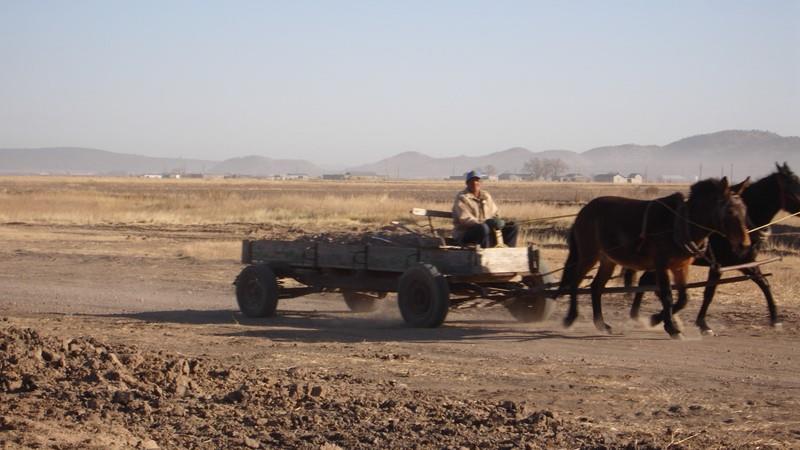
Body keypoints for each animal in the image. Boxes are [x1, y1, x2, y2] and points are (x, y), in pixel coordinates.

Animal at [556, 176, 752, 338]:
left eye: (744, 210)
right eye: (730, 212)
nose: (745, 244)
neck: (680, 223)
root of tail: (584, 210)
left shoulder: (680, 266)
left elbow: (683, 299)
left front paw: (657, 319)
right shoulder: (661, 265)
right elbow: (667, 295)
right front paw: (671, 328)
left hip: (608, 260)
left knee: (596, 288)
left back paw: (602, 325)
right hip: (589, 255)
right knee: (575, 283)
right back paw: (570, 318)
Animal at [624, 162, 800, 334]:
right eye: (794, 185)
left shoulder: (746, 263)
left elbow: (764, 283)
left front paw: (775, 320)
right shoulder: (718, 265)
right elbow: (709, 293)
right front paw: (702, 324)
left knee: (646, 281)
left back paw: (641, 315)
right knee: (647, 282)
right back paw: (643, 316)